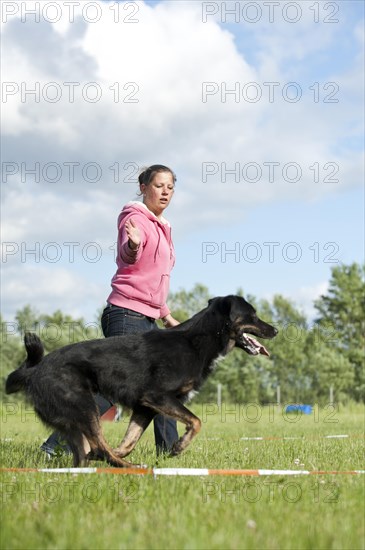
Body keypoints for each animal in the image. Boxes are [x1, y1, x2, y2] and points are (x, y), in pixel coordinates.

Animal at [6, 300, 276, 468]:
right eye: (253, 315)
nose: (275, 330)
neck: (198, 340)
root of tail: (35, 370)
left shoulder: (145, 408)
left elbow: (129, 440)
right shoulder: (157, 397)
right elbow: (197, 421)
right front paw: (178, 447)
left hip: (75, 419)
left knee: (86, 452)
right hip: (85, 406)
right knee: (99, 446)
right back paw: (129, 466)